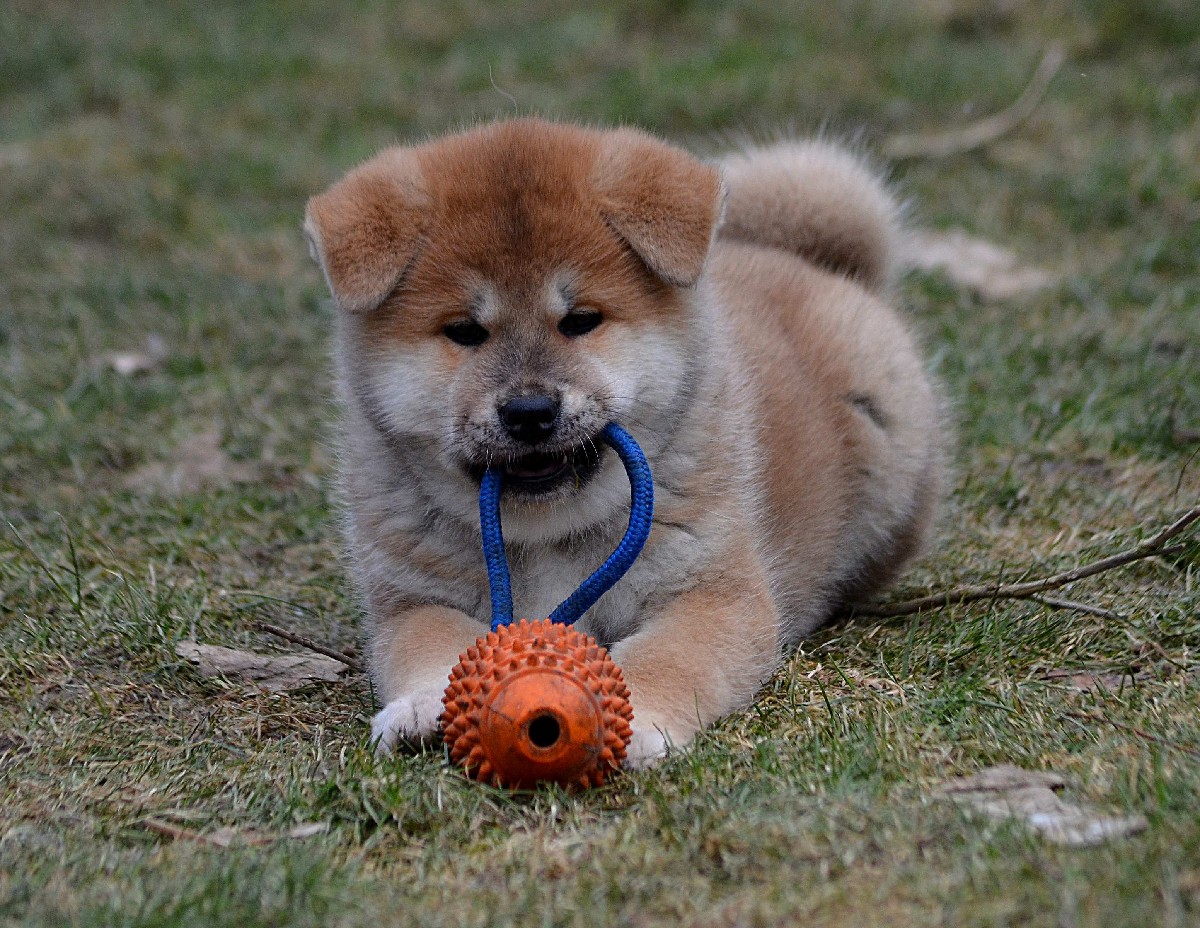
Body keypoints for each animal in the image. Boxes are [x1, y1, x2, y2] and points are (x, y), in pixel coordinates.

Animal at [303, 118, 945, 768]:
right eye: (463, 331)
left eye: (581, 321)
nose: (530, 412)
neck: (547, 535)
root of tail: (809, 262)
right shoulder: (414, 601)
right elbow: (434, 645)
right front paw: (420, 708)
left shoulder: (710, 595)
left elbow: (664, 659)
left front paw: (631, 721)